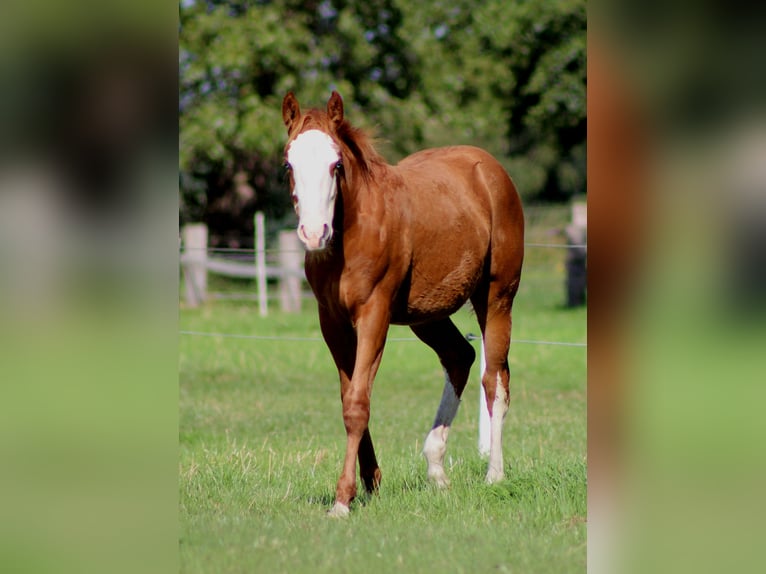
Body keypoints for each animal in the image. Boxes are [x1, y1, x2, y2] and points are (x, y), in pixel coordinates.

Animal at [281, 91, 524, 517]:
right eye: (289, 164)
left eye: (336, 164)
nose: (314, 233)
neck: (353, 234)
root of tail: (492, 169)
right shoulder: (333, 323)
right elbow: (349, 396)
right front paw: (370, 481)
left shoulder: (373, 314)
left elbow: (358, 402)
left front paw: (343, 499)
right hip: (427, 315)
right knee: (460, 357)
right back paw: (436, 469)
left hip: (496, 298)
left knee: (494, 380)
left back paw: (494, 474)